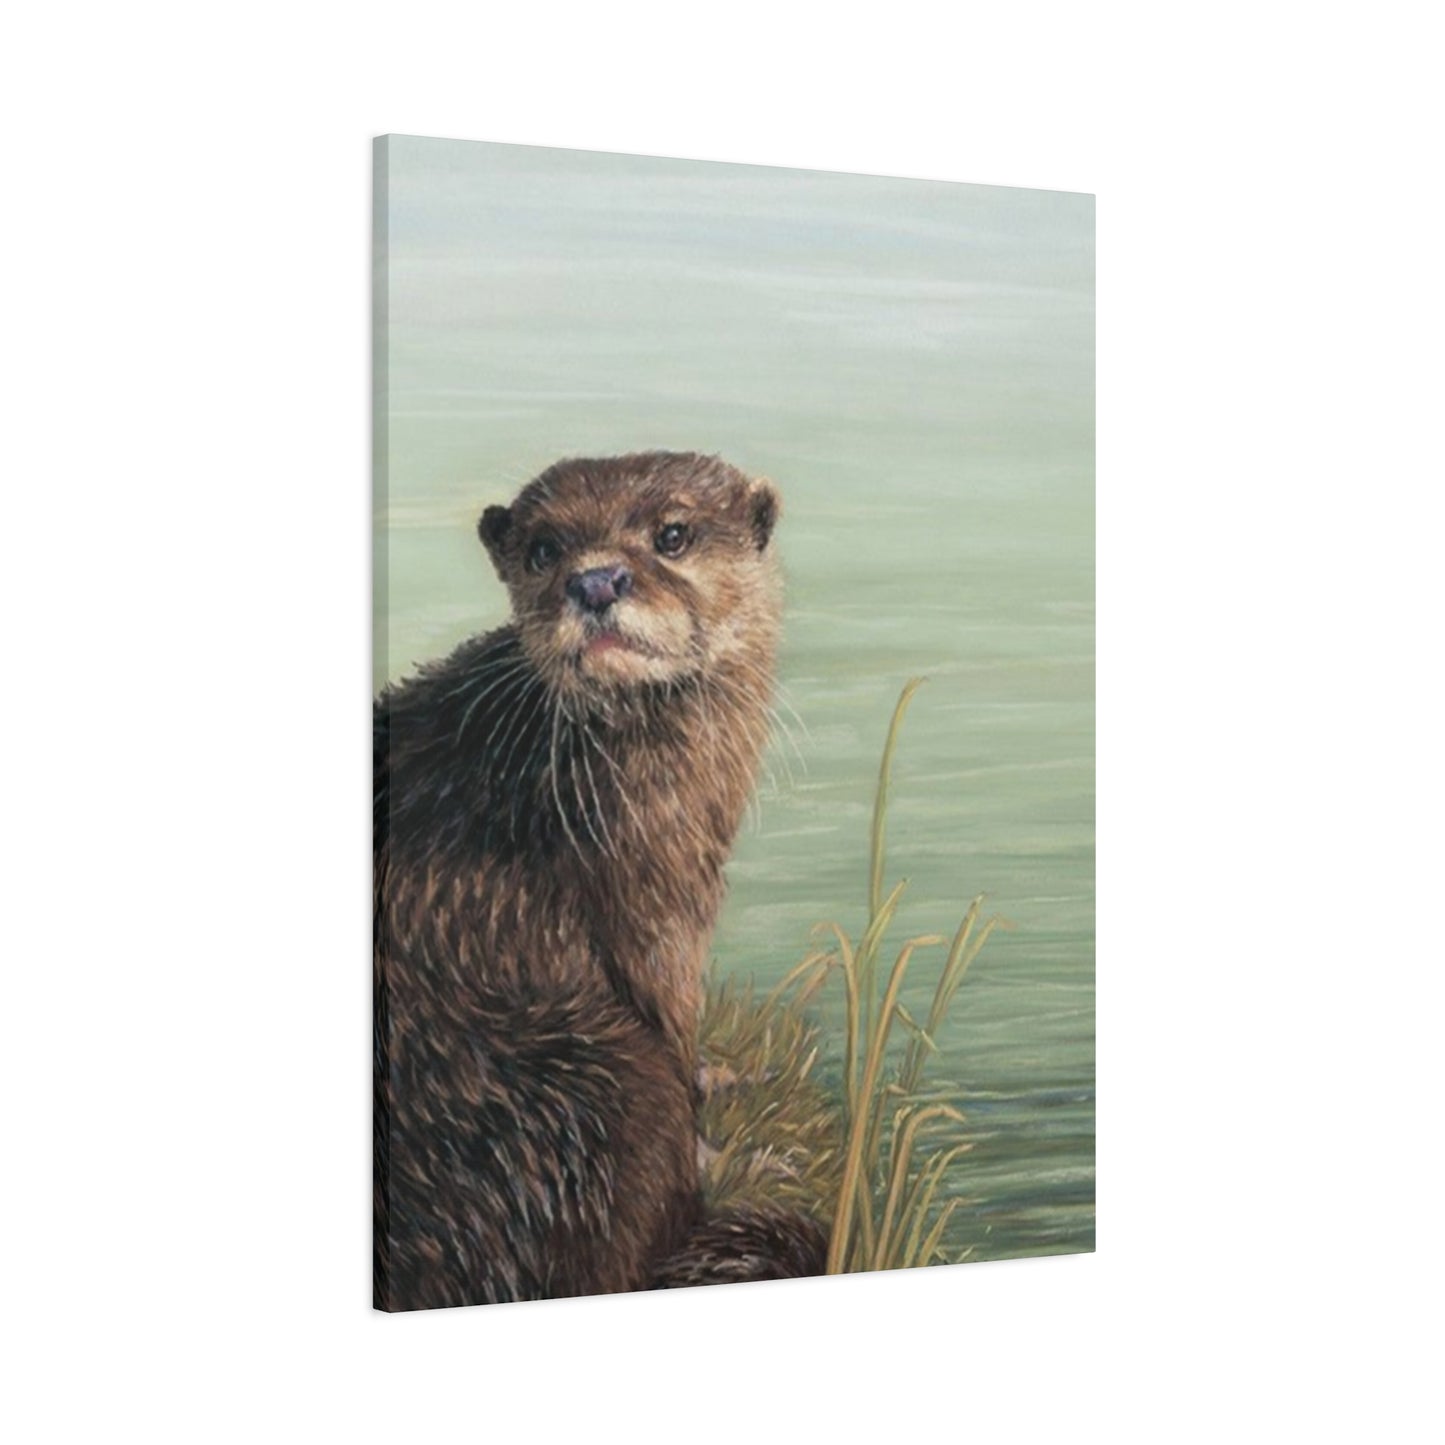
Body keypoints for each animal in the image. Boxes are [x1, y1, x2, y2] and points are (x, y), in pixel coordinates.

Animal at [374, 451, 827, 1310]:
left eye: (672, 534)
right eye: (544, 549)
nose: (595, 581)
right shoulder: (651, 898)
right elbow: (668, 1015)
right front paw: (719, 1130)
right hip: (606, 1084)